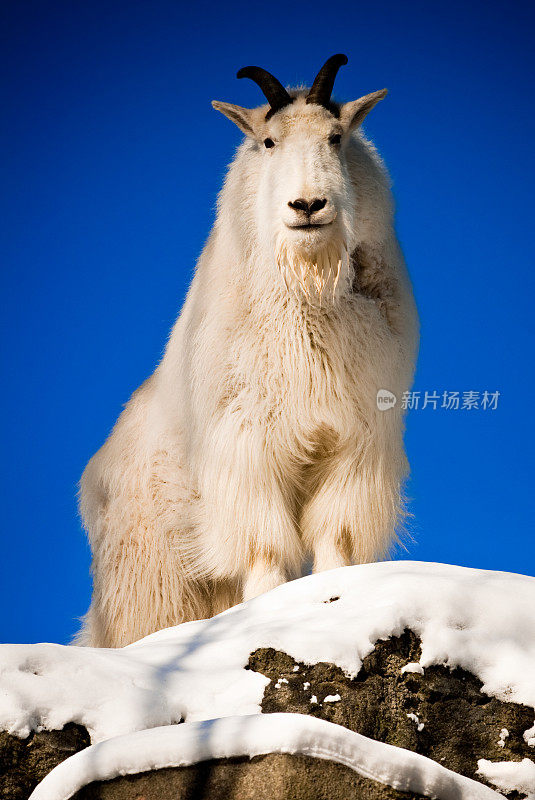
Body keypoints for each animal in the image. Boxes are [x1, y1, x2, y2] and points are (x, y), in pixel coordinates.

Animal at [76, 53, 418, 648]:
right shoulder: (247, 445)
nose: (308, 206)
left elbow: (334, 538)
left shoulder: (353, 443)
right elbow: (264, 547)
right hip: (150, 580)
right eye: (268, 141)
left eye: (335, 137)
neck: (307, 294)